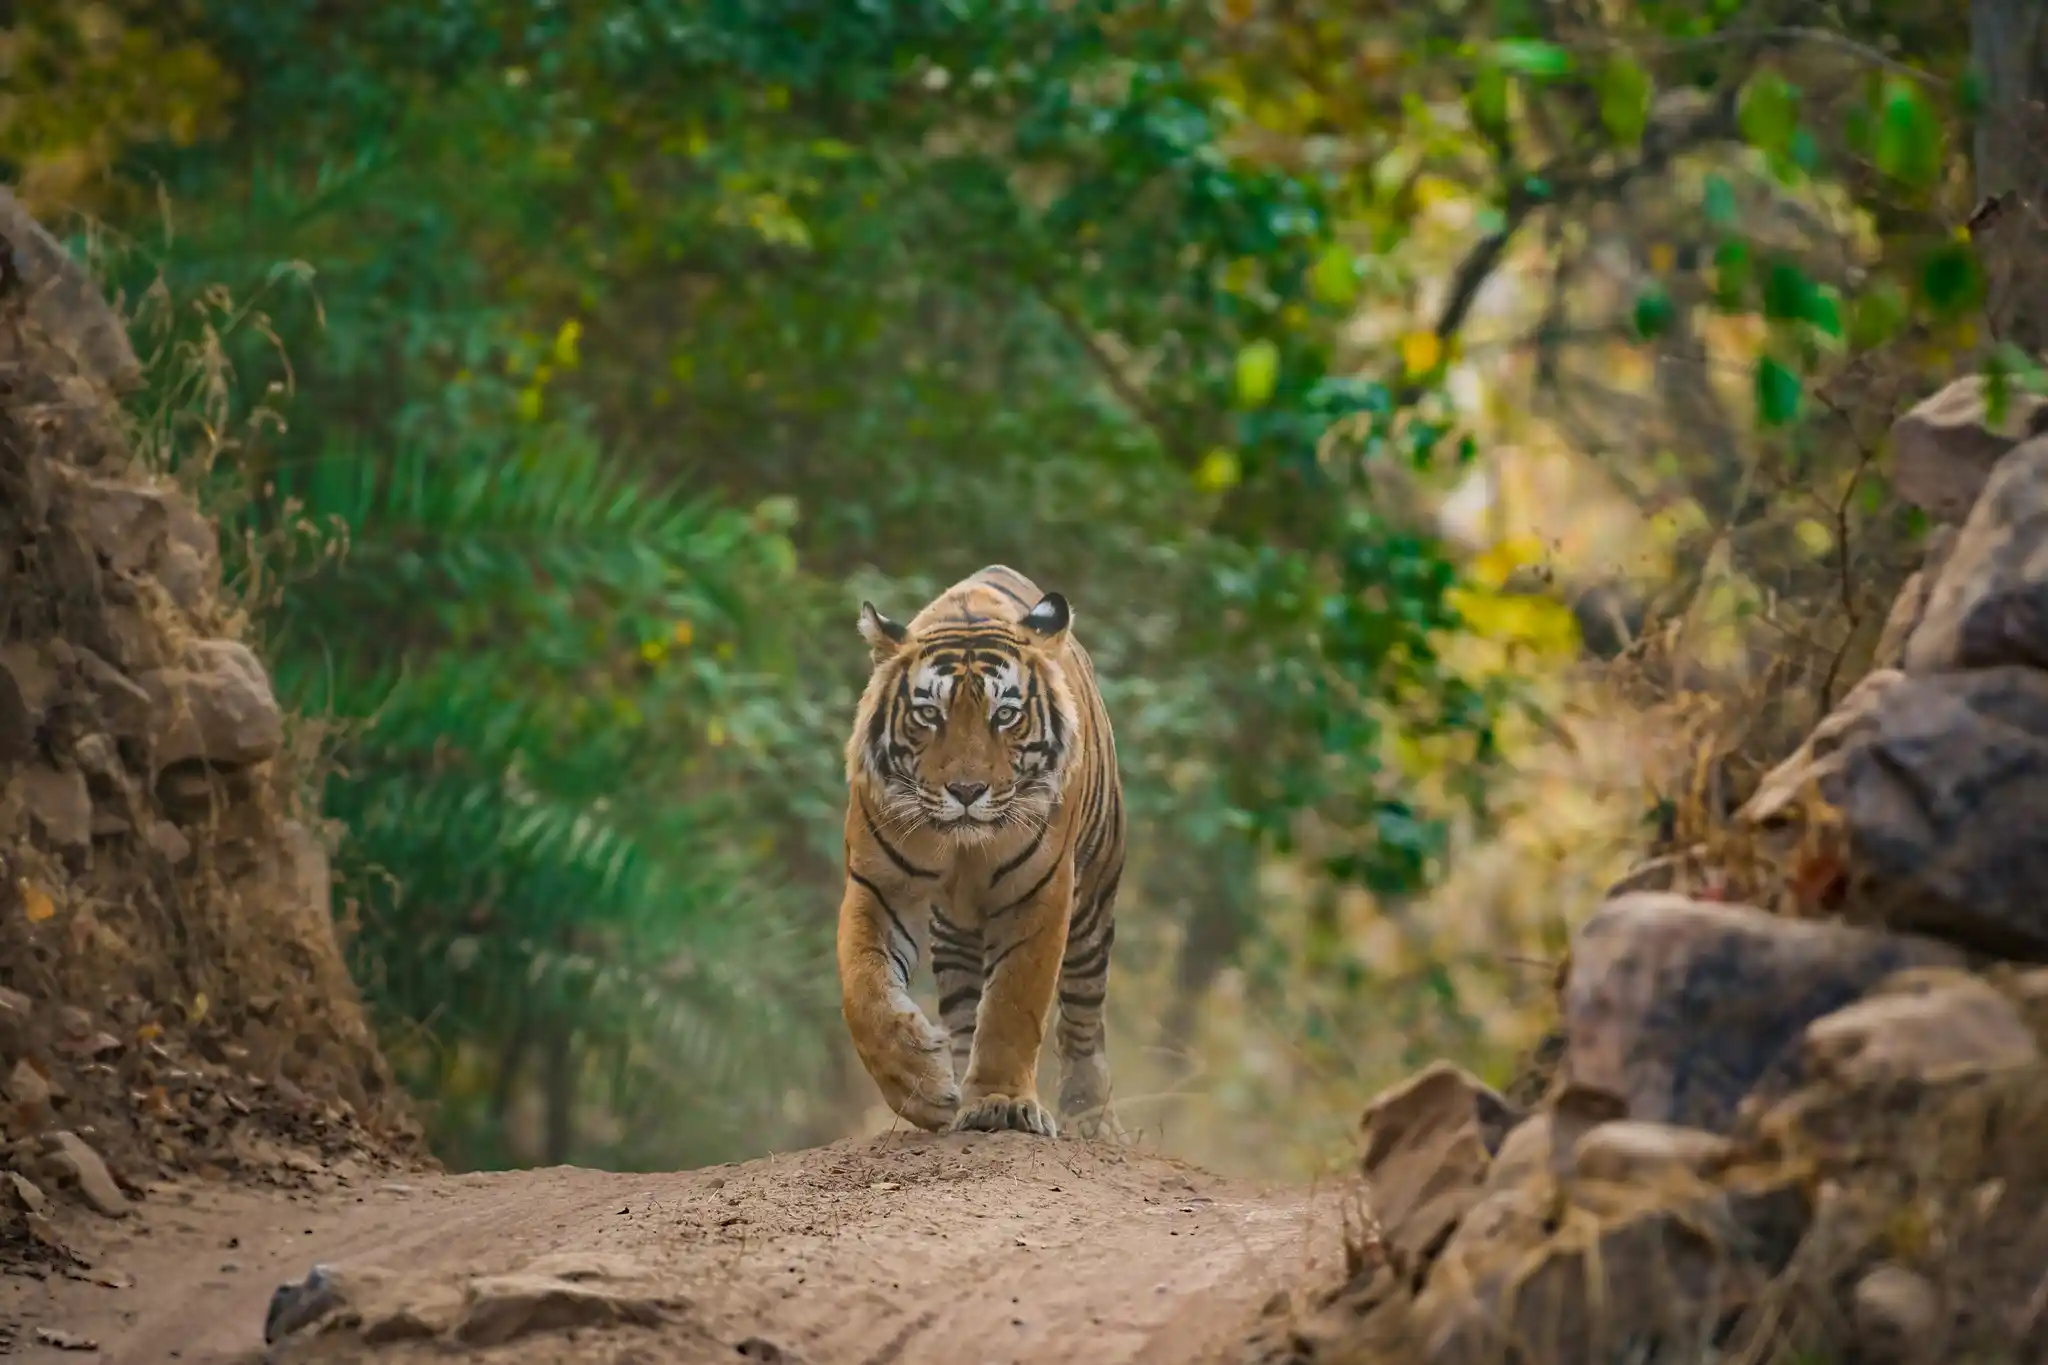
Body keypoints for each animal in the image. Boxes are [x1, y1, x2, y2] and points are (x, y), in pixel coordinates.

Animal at [836, 564, 1127, 1139]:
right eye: (929, 713)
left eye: (1006, 715)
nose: (967, 791)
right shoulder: (877, 885)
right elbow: (864, 989)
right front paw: (922, 1085)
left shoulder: (1040, 892)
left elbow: (1015, 1002)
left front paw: (1001, 1102)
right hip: (953, 929)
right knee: (963, 1005)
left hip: (1094, 903)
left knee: (1083, 1017)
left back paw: (1093, 1120)